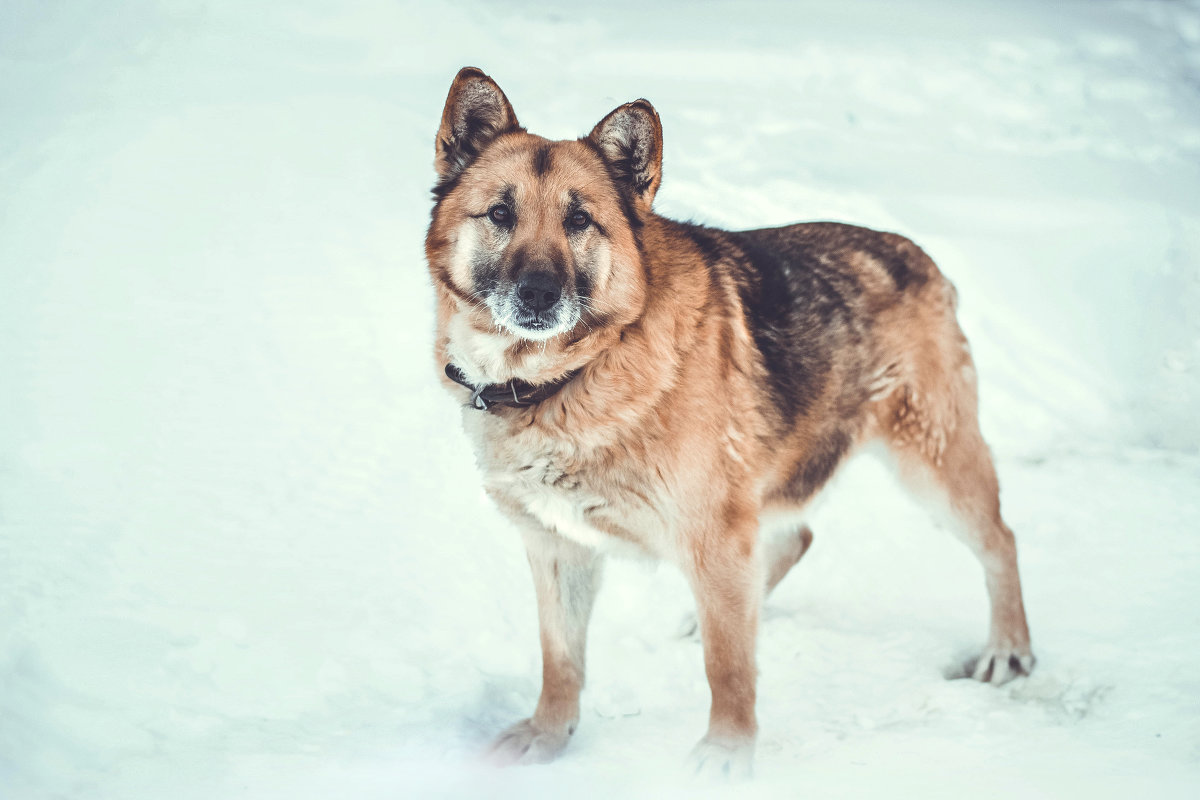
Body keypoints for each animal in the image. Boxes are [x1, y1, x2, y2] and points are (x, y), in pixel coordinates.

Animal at [422, 67, 1032, 777]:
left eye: (579, 220)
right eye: (500, 214)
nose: (539, 296)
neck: (575, 374)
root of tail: (914, 253)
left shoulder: (713, 534)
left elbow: (728, 666)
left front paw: (727, 752)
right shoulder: (557, 546)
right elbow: (561, 659)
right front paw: (549, 736)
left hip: (934, 467)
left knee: (1000, 540)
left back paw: (1009, 650)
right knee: (794, 540)